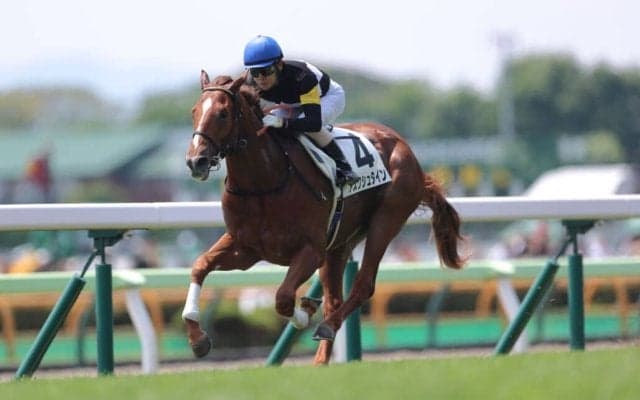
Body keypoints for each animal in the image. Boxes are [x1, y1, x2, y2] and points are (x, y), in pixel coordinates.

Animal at [182, 70, 465, 365]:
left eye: (223, 113)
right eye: (194, 111)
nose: (196, 161)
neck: (265, 181)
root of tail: (403, 146)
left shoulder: (310, 250)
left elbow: (283, 297)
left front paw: (305, 312)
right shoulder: (246, 248)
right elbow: (200, 265)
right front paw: (197, 337)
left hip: (386, 220)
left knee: (363, 284)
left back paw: (327, 326)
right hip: (340, 243)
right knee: (334, 300)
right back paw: (320, 361)